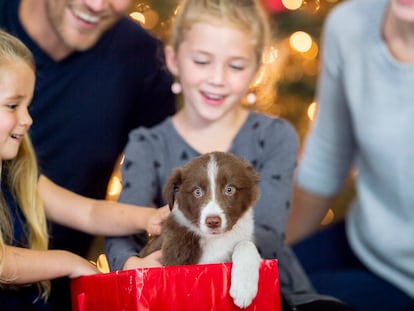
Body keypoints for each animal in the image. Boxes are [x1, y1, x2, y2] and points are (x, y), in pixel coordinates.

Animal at [140, 152, 262, 310]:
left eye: (229, 189)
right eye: (197, 192)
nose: (213, 222)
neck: (217, 239)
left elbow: (246, 244)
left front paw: (244, 288)